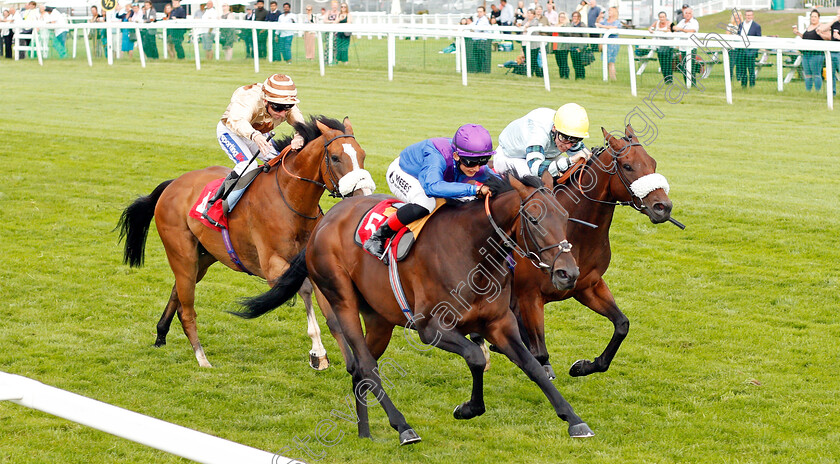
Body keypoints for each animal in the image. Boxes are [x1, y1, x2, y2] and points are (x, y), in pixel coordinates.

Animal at [116, 117, 372, 370]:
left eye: (362, 154)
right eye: (336, 157)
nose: (363, 195)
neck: (292, 200)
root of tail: (173, 184)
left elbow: (332, 316)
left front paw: (353, 365)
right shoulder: (273, 266)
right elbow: (306, 290)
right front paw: (318, 353)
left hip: (204, 257)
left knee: (176, 291)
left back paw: (161, 335)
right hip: (182, 254)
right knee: (187, 308)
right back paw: (201, 358)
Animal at [233, 173, 592, 442]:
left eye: (564, 216)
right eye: (533, 218)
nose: (568, 273)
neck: (472, 250)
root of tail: (323, 223)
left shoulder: (499, 323)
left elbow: (533, 366)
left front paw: (574, 419)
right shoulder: (430, 328)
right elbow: (476, 357)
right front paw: (468, 408)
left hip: (379, 318)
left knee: (359, 370)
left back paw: (364, 433)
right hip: (341, 298)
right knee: (366, 366)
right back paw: (403, 427)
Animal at [506, 125, 676, 378]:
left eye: (652, 163)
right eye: (627, 166)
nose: (663, 207)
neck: (576, 232)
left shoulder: (588, 286)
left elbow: (622, 325)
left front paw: (583, 366)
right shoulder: (529, 296)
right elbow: (540, 355)